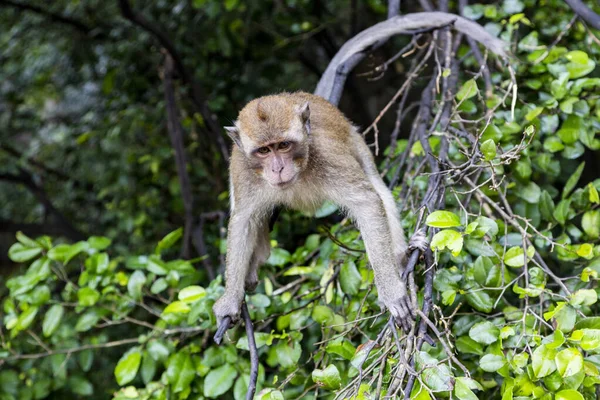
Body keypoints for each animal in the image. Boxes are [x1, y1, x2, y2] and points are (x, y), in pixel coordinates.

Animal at [212, 93, 426, 332]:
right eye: (264, 150)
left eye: (283, 145)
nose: (278, 169)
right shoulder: (243, 169)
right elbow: (243, 220)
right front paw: (230, 300)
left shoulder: (328, 154)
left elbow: (367, 203)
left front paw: (391, 292)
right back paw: (253, 266)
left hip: (354, 139)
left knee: (378, 188)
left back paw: (401, 259)